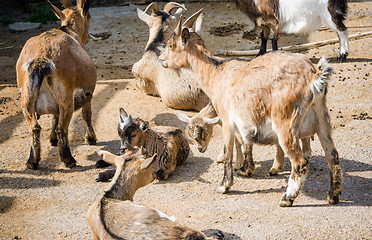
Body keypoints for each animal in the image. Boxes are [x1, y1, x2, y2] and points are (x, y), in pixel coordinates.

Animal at [16, 0, 97, 170]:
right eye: (89, 16)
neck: (69, 31)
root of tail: (41, 60)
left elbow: (54, 115)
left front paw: (52, 139)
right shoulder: (87, 91)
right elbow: (86, 114)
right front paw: (91, 138)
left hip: (27, 98)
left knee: (34, 127)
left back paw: (32, 161)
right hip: (66, 98)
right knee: (62, 127)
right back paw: (68, 159)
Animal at [175, 103, 314, 176]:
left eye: (204, 133)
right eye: (192, 136)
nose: (200, 149)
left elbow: (237, 143)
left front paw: (237, 163)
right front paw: (223, 157)